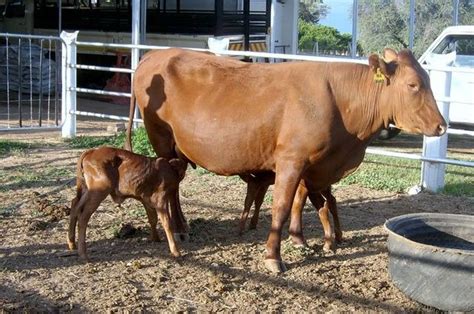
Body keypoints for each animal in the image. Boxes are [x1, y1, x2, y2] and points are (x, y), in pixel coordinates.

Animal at [124, 47, 446, 272]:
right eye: (413, 85)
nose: (441, 126)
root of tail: (156, 54)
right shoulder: (292, 159)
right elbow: (281, 206)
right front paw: (273, 257)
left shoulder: (313, 164)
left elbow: (301, 201)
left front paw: (300, 239)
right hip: (162, 141)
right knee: (171, 187)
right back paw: (179, 229)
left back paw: (182, 226)